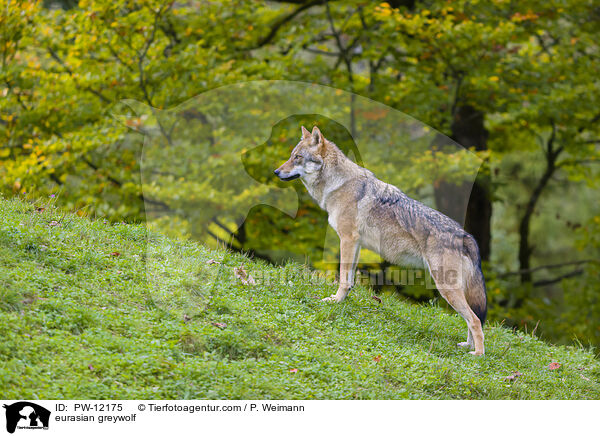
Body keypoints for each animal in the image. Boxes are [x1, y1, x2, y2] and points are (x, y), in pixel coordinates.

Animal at [274, 125, 486, 354]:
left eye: (297, 157)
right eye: (291, 156)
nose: (276, 172)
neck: (338, 184)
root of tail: (466, 235)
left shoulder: (347, 239)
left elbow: (342, 277)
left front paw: (335, 300)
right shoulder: (356, 244)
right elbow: (349, 279)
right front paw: (343, 299)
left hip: (446, 287)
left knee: (475, 320)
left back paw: (478, 355)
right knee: (472, 318)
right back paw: (467, 346)